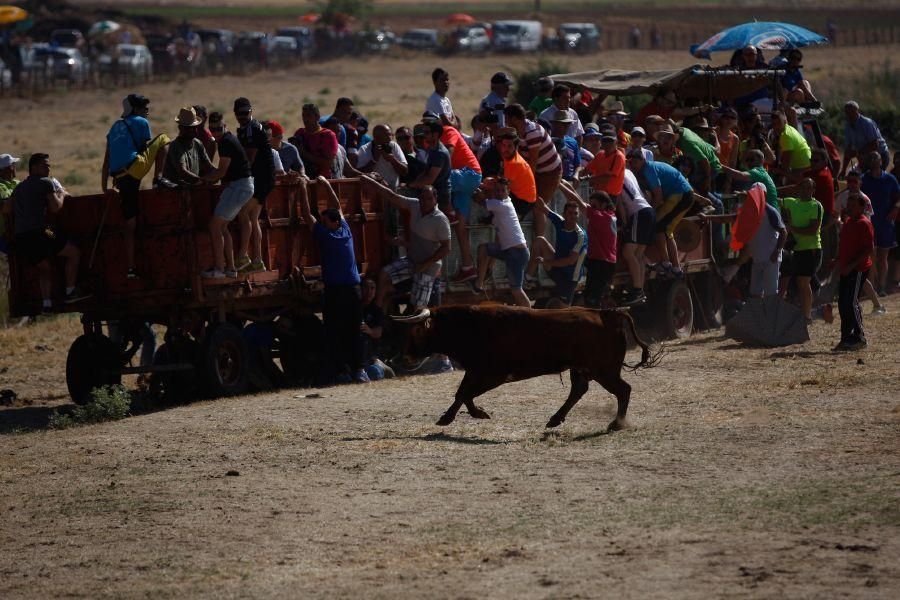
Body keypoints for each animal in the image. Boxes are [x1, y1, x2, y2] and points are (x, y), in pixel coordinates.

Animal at [398, 304, 656, 432]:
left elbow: (465, 393)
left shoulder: (494, 375)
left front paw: (450, 417)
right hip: (582, 368)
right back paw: (555, 419)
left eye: (417, 330)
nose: (405, 357)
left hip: (604, 369)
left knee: (623, 390)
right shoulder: (475, 371)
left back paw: (616, 424)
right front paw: (473, 413)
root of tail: (607, 314)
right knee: (579, 390)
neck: (470, 326)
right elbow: (463, 392)